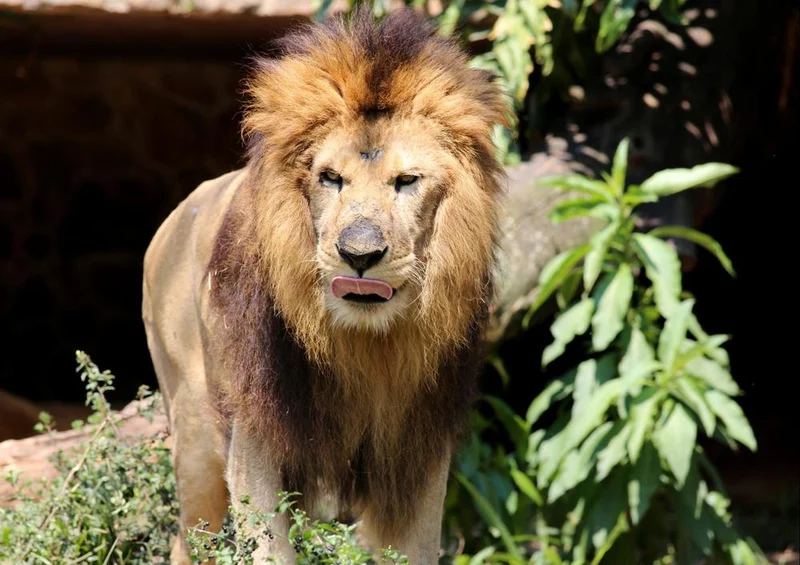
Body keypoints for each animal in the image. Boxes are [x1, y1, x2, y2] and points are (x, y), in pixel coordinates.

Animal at [141, 7, 511, 564]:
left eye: (407, 181)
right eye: (330, 178)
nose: (359, 255)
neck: (365, 346)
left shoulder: (420, 452)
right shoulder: (257, 438)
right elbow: (267, 546)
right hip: (196, 433)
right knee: (190, 537)